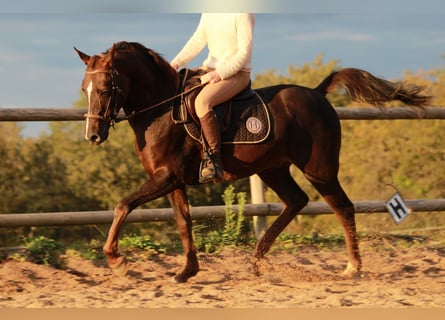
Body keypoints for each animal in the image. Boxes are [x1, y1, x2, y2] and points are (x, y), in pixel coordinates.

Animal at [74, 40, 428, 282]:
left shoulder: (166, 176)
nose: (92, 135)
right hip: (273, 169)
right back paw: (257, 258)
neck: (161, 109)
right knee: (296, 201)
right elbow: (183, 222)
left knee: (342, 207)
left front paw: (116, 260)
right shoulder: (172, 180)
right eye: (84, 88)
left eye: (105, 88)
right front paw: (188, 271)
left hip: (320, 170)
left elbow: (123, 205)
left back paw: (352, 267)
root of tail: (317, 93)